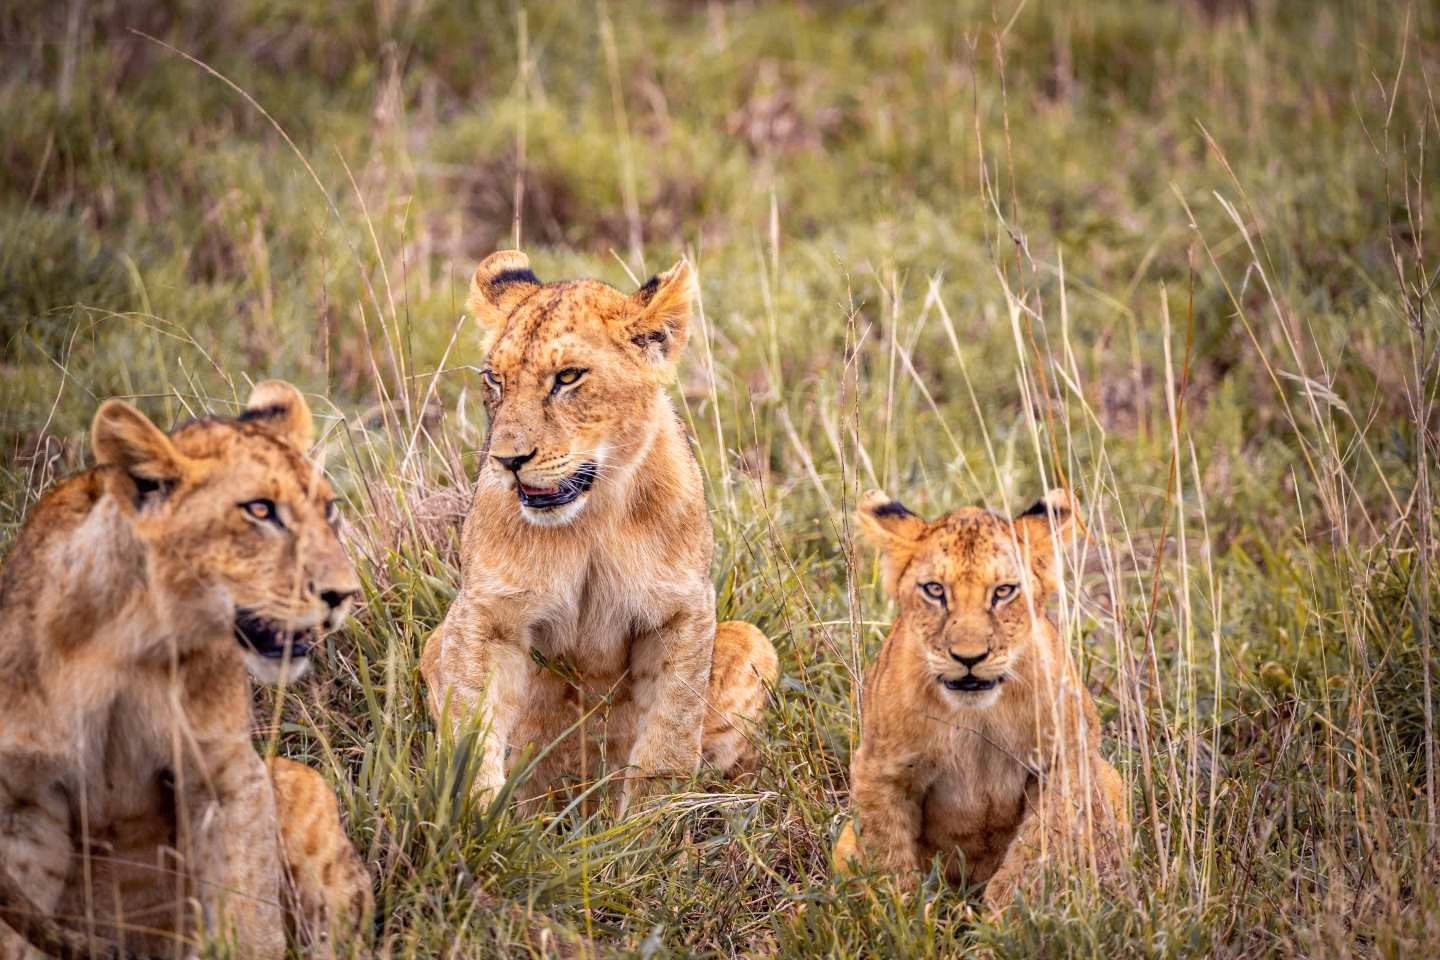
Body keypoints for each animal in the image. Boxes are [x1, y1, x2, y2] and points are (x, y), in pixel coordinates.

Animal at [0, 382, 372, 960]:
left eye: (329, 510)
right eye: (259, 509)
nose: (343, 593)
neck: (126, 645)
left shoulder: (228, 777)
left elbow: (248, 920)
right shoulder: (25, 802)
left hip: (298, 783)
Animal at [420, 251, 778, 814]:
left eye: (568, 376)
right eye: (495, 379)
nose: (507, 461)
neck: (589, 519)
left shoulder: (681, 610)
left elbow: (670, 735)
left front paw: (650, 825)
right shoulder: (486, 613)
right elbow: (471, 725)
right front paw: (476, 816)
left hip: (754, 641)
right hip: (435, 641)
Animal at [832, 488, 1129, 911]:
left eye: (1004, 591)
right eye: (935, 590)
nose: (969, 657)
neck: (978, 717)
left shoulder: (1066, 761)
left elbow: (1034, 854)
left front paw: (1006, 919)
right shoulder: (881, 769)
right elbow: (888, 856)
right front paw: (903, 916)